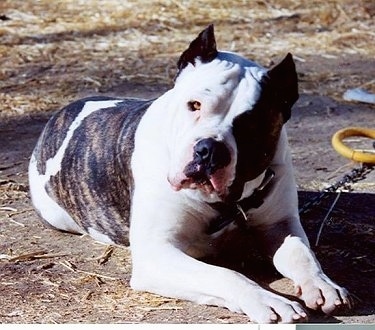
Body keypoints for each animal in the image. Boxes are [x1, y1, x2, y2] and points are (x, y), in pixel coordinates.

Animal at [29, 25, 352, 322]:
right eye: (194, 105)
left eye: (251, 125)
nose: (210, 149)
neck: (225, 204)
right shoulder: (157, 253)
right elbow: (224, 275)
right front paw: (267, 300)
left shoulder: (280, 225)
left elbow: (301, 254)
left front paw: (322, 284)